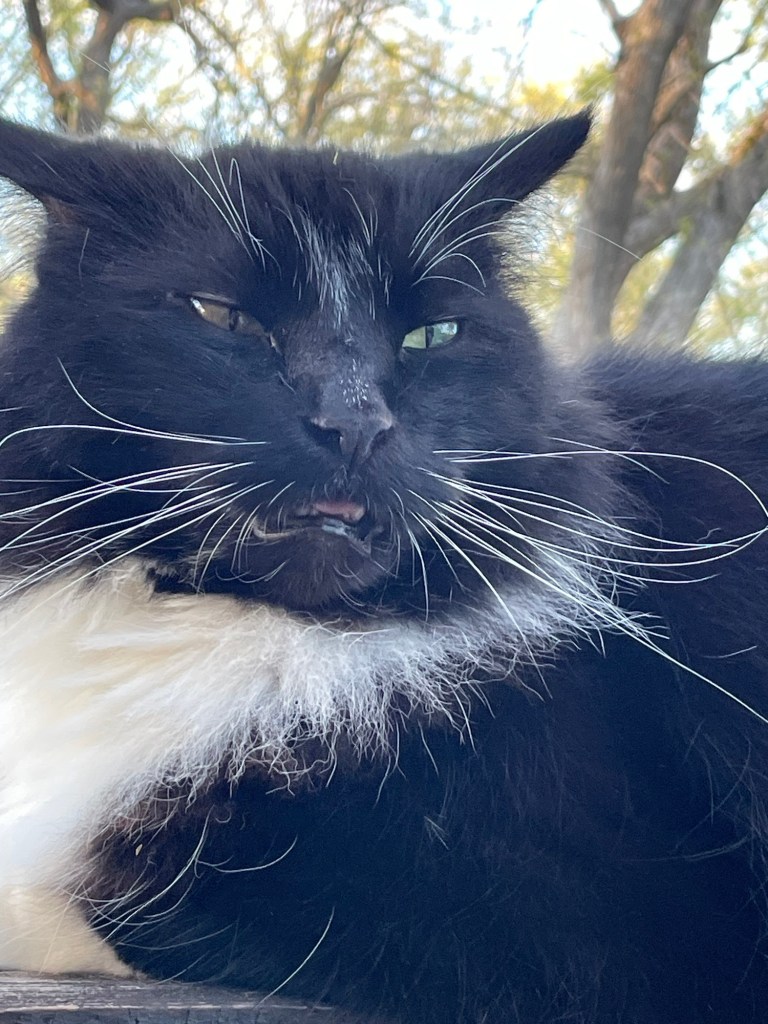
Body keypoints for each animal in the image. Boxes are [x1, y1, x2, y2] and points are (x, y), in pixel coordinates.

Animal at [2, 109, 768, 1023]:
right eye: (223, 317)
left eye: (433, 336)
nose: (357, 422)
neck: (287, 642)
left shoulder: (604, 916)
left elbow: (104, 877)